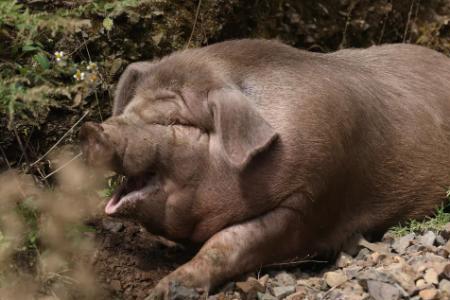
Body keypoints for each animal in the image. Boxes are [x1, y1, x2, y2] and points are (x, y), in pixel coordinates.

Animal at [79, 39, 450, 298]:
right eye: (129, 109)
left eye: (176, 122)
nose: (94, 130)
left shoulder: (311, 202)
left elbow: (230, 241)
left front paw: (163, 290)